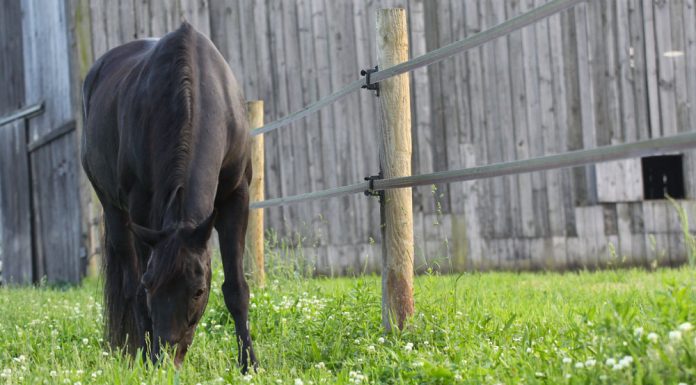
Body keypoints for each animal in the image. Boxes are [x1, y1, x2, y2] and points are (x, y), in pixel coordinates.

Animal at [81, 21, 256, 368]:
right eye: (152, 285)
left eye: (198, 291)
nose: (165, 358)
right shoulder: (139, 207)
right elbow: (137, 291)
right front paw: (145, 357)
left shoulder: (236, 196)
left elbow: (236, 288)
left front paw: (250, 364)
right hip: (114, 210)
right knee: (128, 283)